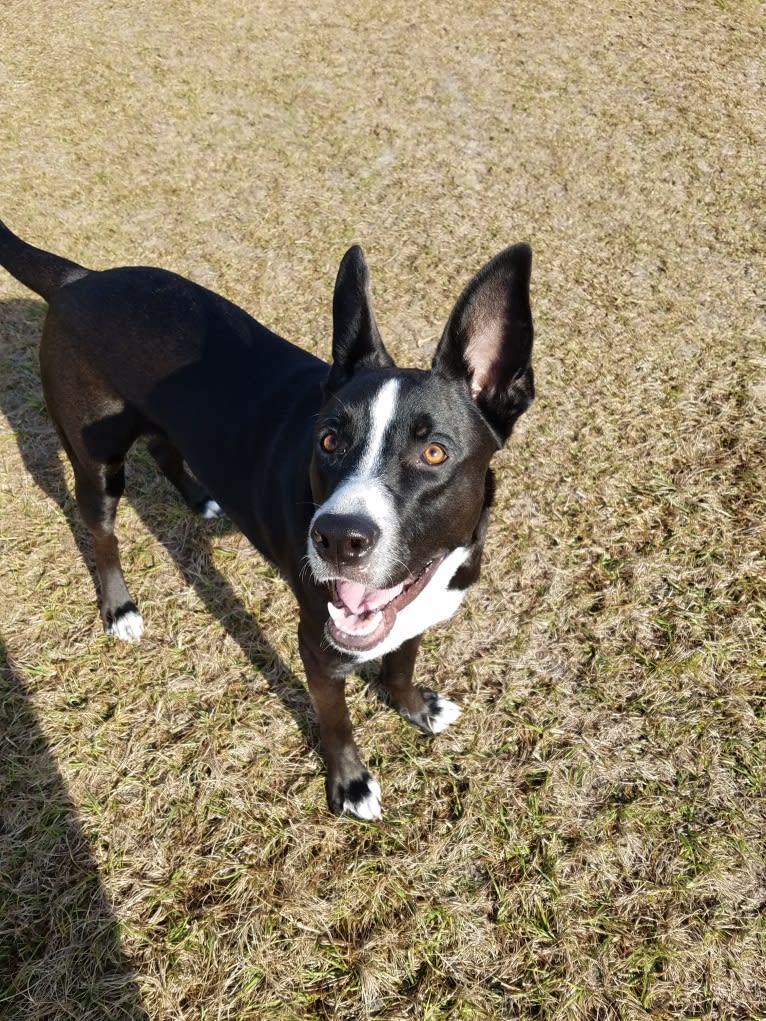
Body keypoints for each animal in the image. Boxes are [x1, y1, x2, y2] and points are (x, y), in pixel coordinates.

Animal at [0, 221, 535, 820]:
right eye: (328, 440)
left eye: (435, 453)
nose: (337, 540)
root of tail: (80, 278)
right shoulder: (320, 648)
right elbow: (335, 721)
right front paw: (350, 784)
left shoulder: (411, 610)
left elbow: (401, 663)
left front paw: (414, 708)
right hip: (97, 461)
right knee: (100, 529)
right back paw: (120, 609)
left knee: (164, 446)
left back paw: (201, 499)